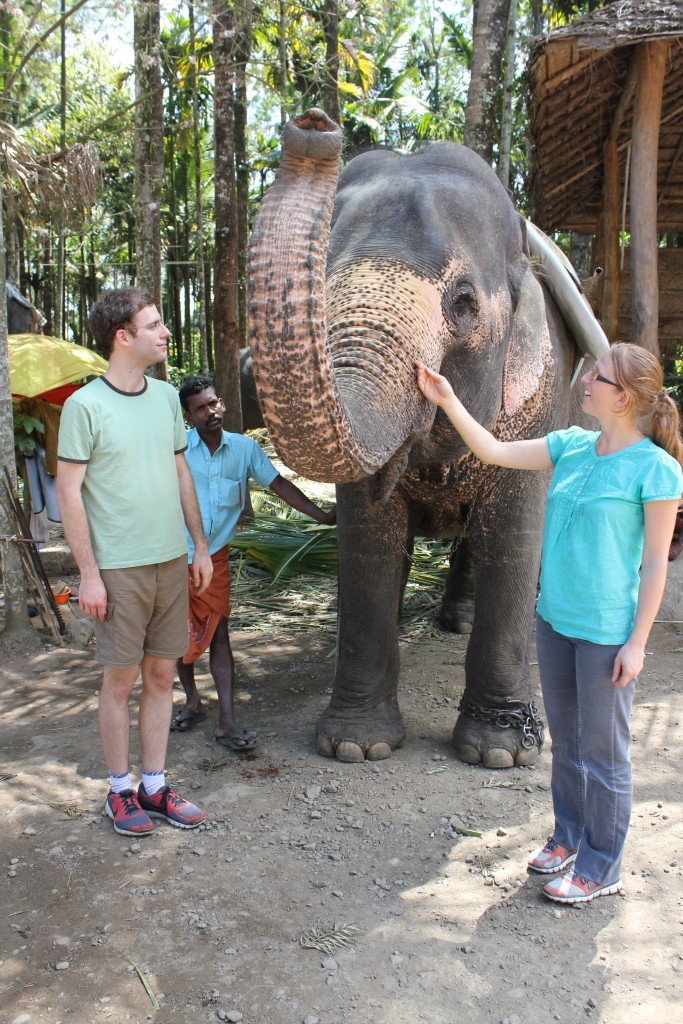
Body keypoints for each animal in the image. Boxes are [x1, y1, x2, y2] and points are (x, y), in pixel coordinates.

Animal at [247, 108, 602, 768]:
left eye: (462, 304)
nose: (314, 126)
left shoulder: (540, 400)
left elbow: (514, 539)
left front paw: (498, 753)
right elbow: (368, 542)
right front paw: (355, 747)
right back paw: (450, 620)